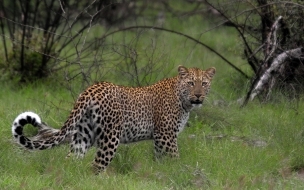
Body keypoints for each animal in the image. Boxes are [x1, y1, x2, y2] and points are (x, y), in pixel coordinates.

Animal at [11, 65, 215, 174]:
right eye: (191, 83)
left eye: (204, 84)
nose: (198, 95)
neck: (184, 101)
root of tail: (91, 89)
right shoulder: (166, 135)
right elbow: (174, 158)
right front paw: (179, 170)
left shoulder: (160, 138)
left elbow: (160, 159)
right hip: (110, 137)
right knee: (96, 166)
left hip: (83, 135)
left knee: (71, 160)